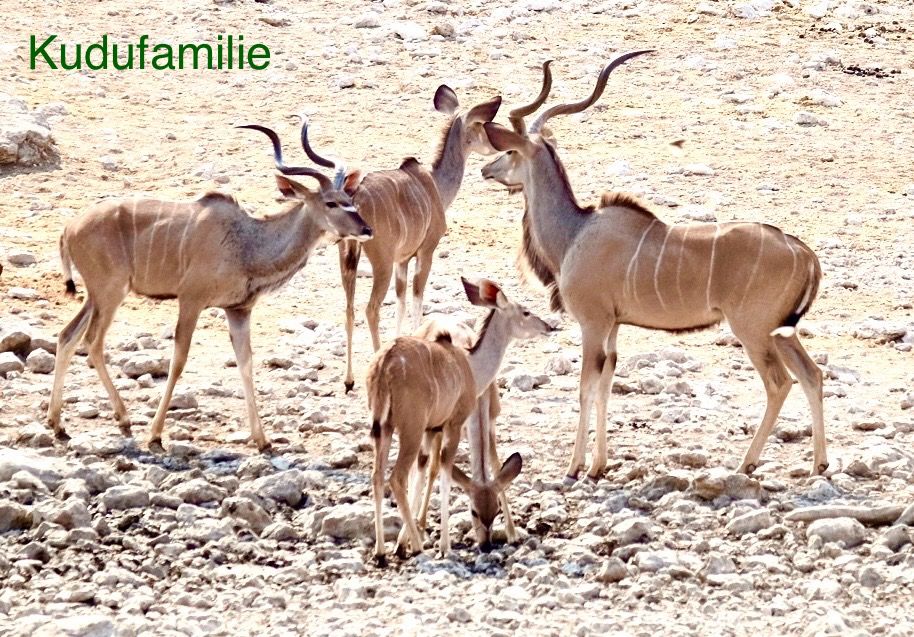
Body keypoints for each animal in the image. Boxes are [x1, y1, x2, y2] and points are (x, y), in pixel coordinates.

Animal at [49, 129, 370, 452]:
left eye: (349, 198)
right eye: (331, 203)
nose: (366, 230)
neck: (247, 243)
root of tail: (68, 229)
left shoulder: (238, 310)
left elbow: (246, 363)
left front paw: (262, 439)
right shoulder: (191, 300)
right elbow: (178, 362)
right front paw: (155, 435)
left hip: (97, 296)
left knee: (67, 335)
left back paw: (58, 422)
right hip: (110, 292)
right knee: (92, 341)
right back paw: (123, 418)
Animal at [364, 276, 548, 560]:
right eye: (526, 312)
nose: (548, 326)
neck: (469, 363)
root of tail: (385, 363)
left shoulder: (433, 429)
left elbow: (429, 470)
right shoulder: (453, 423)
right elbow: (445, 470)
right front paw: (444, 546)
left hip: (382, 428)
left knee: (377, 475)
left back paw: (382, 551)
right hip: (410, 429)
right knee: (396, 477)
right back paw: (416, 546)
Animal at [484, 54, 828, 480]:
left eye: (509, 153)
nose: (486, 170)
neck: (576, 231)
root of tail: (804, 253)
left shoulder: (593, 323)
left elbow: (585, 388)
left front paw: (575, 467)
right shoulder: (613, 327)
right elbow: (606, 386)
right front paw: (598, 466)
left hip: (753, 330)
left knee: (779, 383)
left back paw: (746, 463)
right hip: (780, 332)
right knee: (812, 375)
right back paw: (819, 465)